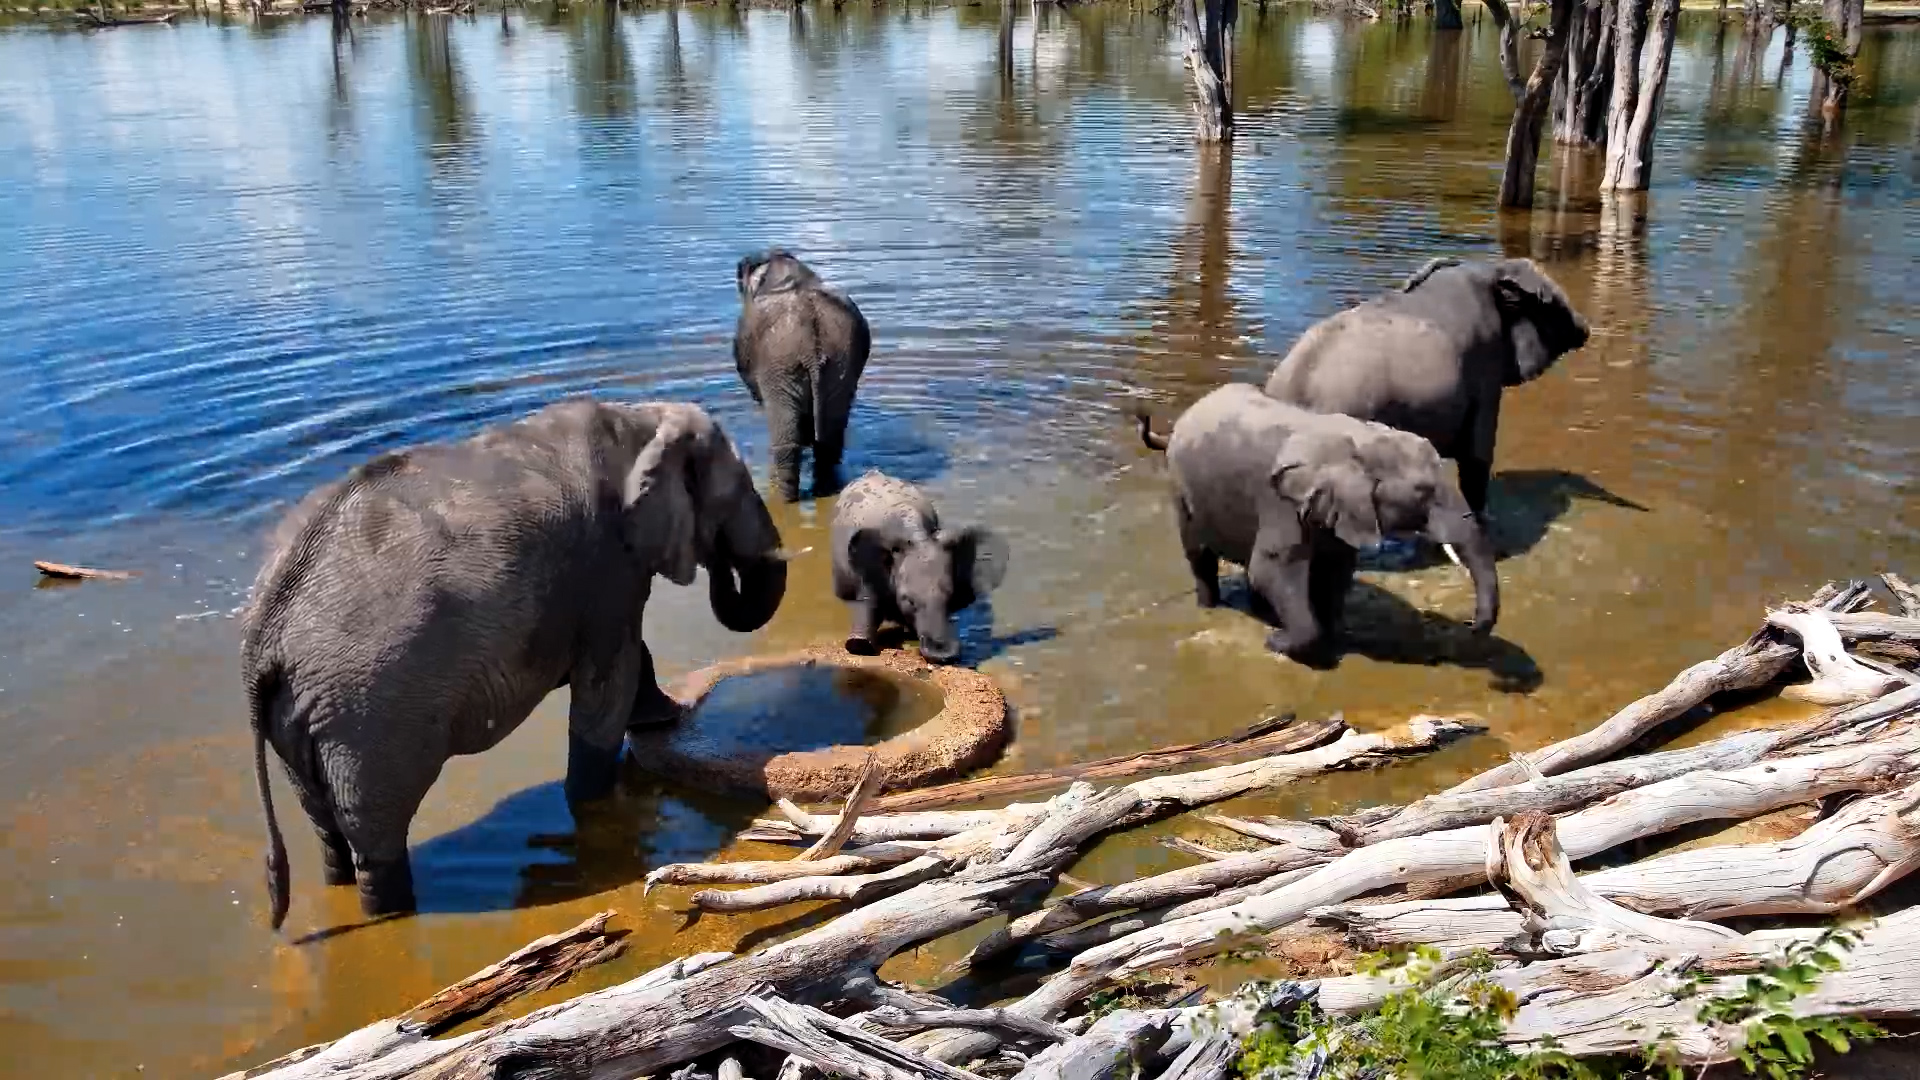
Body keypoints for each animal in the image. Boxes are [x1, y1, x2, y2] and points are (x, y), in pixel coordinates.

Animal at [239, 398, 788, 929]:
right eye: (738, 492)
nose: (722, 562)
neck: (640, 418)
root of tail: (261, 635)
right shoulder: (607, 562)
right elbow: (611, 675)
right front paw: (595, 796)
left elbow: (628, 661)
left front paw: (665, 718)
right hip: (364, 717)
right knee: (377, 839)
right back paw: (393, 911)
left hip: (301, 718)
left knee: (325, 827)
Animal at [732, 248, 871, 502]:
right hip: (841, 361)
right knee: (829, 438)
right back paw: (825, 491)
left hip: (779, 366)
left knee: (787, 441)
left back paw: (784, 499)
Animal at [1136, 383, 1497, 664]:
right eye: (1424, 492)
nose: (1470, 624)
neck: (1362, 439)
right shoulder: (1281, 502)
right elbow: (1273, 569)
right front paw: (1277, 642)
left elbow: (1335, 569)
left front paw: (1330, 637)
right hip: (1181, 490)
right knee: (1201, 558)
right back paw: (1212, 608)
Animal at [1262, 256, 1591, 522]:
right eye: (1554, 305)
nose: (1586, 330)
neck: (1489, 269)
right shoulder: (1485, 366)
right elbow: (1478, 452)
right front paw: (1485, 520)